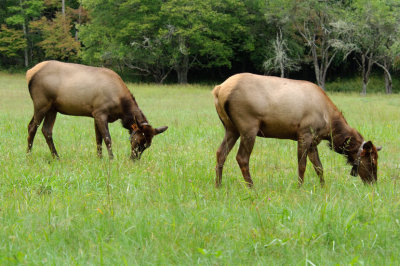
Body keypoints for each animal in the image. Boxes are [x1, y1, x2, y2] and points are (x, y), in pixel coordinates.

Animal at [26, 60, 167, 160]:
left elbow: (98, 138)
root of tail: (29, 73)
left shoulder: (95, 114)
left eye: (148, 145)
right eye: (137, 141)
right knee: (32, 126)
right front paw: (111, 158)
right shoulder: (100, 112)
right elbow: (107, 138)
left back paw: (56, 157)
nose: (134, 159)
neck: (121, 107)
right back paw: (29, 155)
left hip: (52, 108)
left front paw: (99, 158)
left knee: (46, 130)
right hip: (41, 103)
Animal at [212, 73, 382, 187]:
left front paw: (323, 187)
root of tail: (218, 90)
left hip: (231, 128)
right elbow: (302, 165)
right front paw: (300, 187)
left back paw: (218, 185)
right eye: (372, 161)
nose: (373, 183)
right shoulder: (305, 133)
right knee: (241, 157)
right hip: (248, 127)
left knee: (220, 153)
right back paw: (251, 187)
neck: (330, 128)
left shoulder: (314, 140)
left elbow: (319, 167)